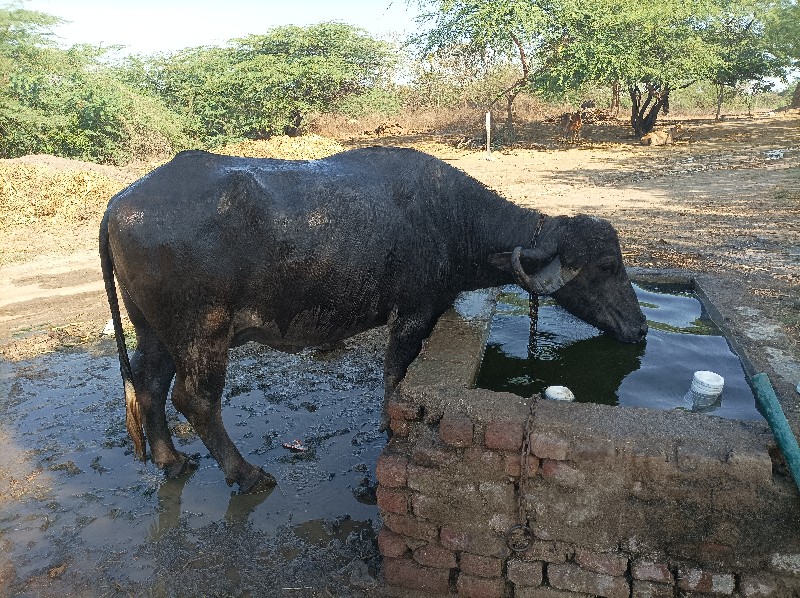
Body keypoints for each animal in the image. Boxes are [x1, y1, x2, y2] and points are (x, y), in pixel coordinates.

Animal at [101, 148, 648, 494]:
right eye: (607, 265)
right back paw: (246, 474)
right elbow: (394, 374)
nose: (640, 328)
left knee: (149, 384)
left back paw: (171, 460)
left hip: (153, 331)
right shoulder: (411, 315)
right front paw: (389, 424)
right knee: (195, 399)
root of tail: (118, 204)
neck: (453, 219)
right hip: (202, 334)